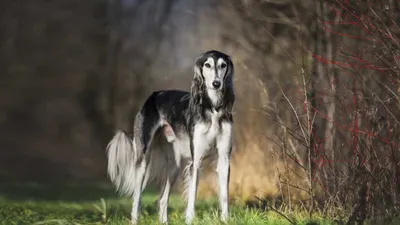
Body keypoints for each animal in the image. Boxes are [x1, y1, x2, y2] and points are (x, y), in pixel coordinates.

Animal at [106, 50, 234, 224]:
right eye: (207, 65)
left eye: (223, 65)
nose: (216, 83)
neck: (212, 108)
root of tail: (154, 95)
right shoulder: (196, 160)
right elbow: (192, 194)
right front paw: (190, 220)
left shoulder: (224, 158)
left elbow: (225, 195)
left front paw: (225, 219)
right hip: (143, 159)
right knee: (137, 197)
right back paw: (134, 219)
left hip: (174, 166)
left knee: (162, 199)